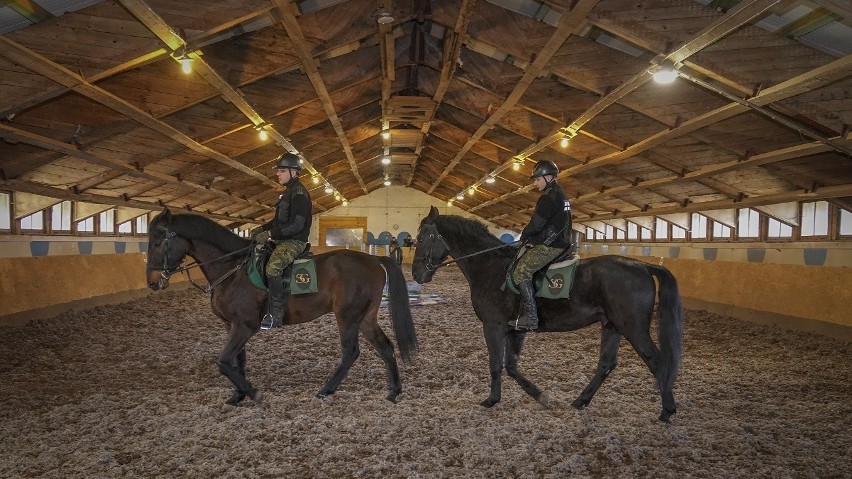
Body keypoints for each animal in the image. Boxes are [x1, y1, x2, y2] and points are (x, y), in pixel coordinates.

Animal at [146, 210, 420, 408]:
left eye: (159, 241)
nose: (152, 282)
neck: (232, 269)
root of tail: (374, 259)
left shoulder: (245, 326)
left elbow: (224, 362)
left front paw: (254, 394)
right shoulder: (232, 325)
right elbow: (237, 361)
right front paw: (237, 396)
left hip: (348, 317)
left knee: (351, 352)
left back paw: (326, 390)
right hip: (365, 318)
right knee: (385, 347)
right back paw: (393, 391)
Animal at [410, 208, 684, 422]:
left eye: (423, 237)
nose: (416, 275)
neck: (490, 267)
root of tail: (642, 266)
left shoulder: (493, 326)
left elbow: (496, 364)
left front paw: (491, 400)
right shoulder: (515, 328)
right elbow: (511, 366)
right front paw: (541, 396)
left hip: (633, 328)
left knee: (658, 362)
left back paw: (667, 410)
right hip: (612, 326)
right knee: (606, 364)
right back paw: (580, 401)